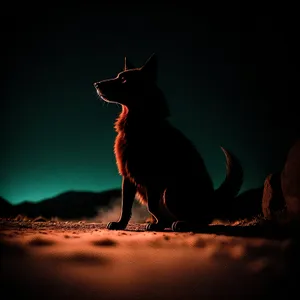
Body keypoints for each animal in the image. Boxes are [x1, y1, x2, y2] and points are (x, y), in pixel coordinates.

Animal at [94, 54, 244, 232]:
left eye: (123, 80)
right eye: (119, 77)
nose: (96, 84)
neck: (140, 125)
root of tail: (213, 200)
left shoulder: (153, 179)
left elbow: (152, 206)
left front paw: (159, 224)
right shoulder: (128, 178)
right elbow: (126, 206)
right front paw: (121, 224)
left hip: (170, 192)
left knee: (200, 220)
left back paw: (182, 223)